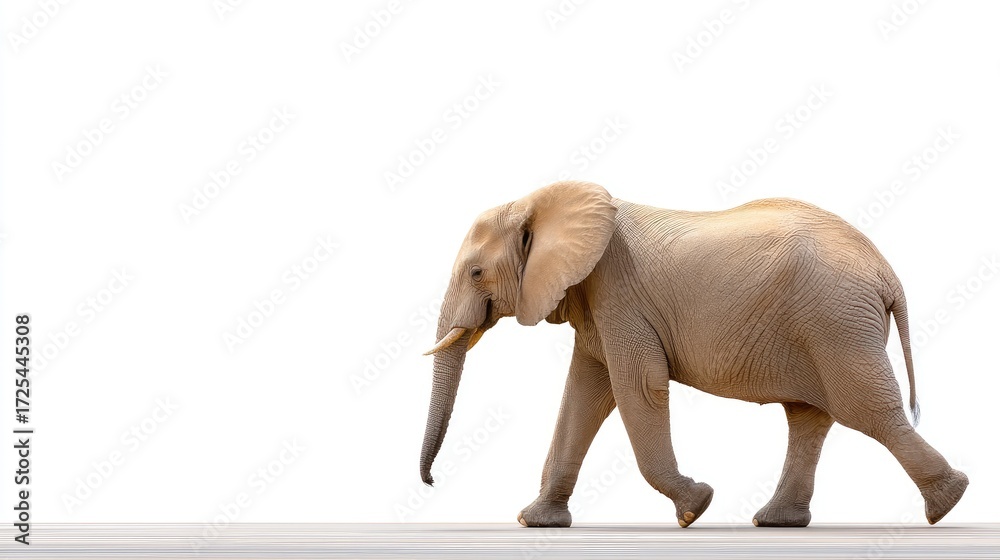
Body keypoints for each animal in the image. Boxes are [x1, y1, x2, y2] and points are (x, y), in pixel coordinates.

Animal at [418, 180, 968, 528]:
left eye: (475, 273)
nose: (429, 482)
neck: (538, 202)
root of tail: (886, 271)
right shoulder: (595, 304)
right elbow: (583, 396)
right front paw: (536, 522)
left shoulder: (619, 295)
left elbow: (637, 388)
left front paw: (695, 508)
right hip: (828, 325)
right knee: (809, 417)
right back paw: (776, 522)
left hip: (838, 322)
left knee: (867, 411)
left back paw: (947, 503)